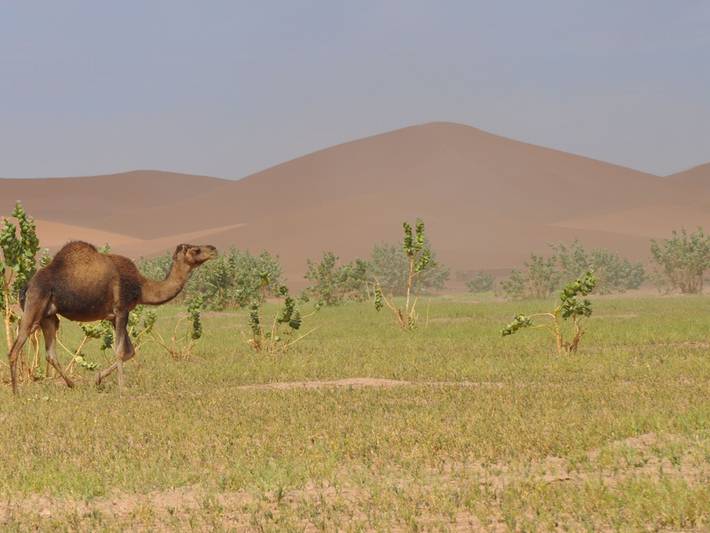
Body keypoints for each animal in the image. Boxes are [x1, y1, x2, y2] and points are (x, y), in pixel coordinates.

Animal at [6, 240, 217, 390]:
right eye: (195, 250)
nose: (213, 249)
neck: (142, 287)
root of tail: (27, 284)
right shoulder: (122, 310)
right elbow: (120, 351)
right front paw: (122, 389)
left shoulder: (114, 317)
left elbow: (130, 351)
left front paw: (97, 379)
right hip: (34, 304)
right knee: (16, 347)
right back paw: (17, 392)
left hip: (48, 316)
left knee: (50, 353)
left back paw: (72, 385)